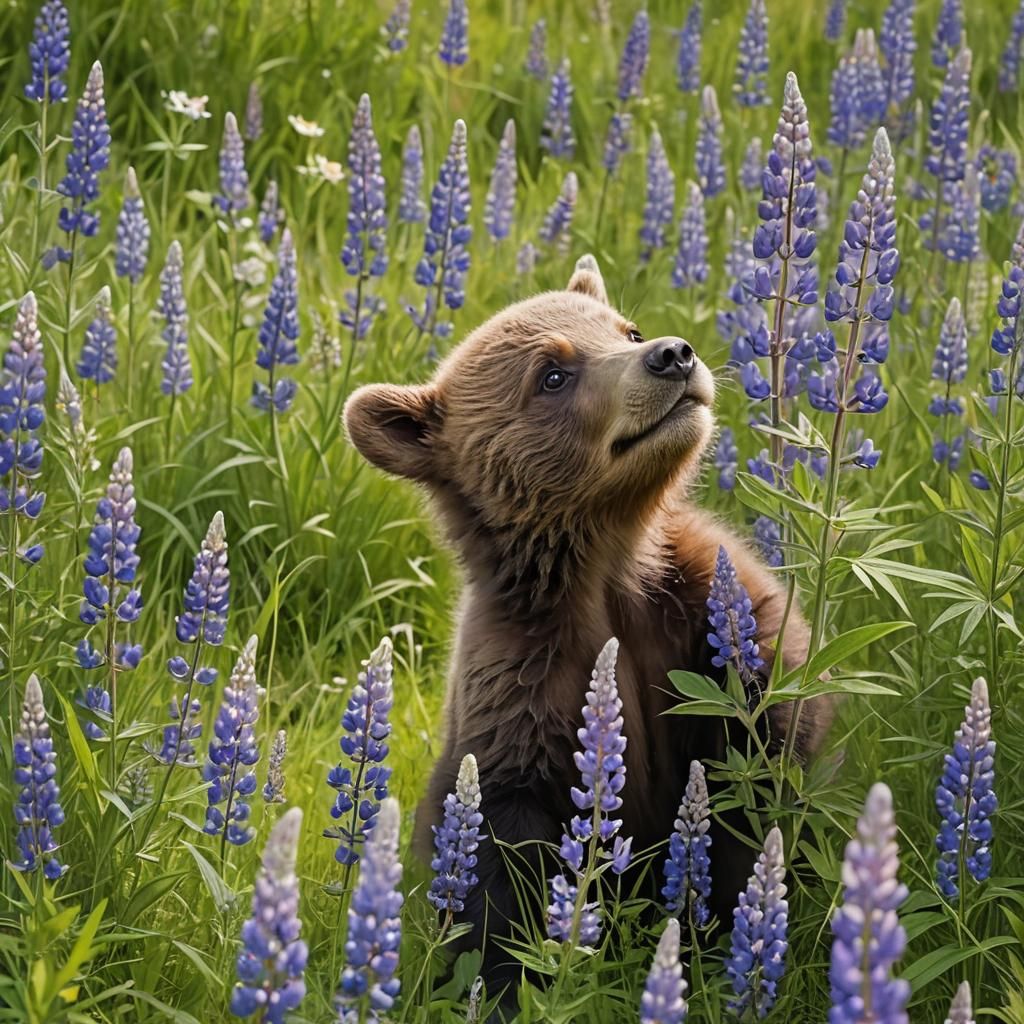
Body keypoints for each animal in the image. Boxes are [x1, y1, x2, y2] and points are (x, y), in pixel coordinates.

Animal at [344, 255, 832, 991]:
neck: (609, 567)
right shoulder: (523, 678)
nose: (671, 355)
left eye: (625, 329)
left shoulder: (714, 627)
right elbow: (500, 865)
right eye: (552, 373)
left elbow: (757, 776)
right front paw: (505, 980)